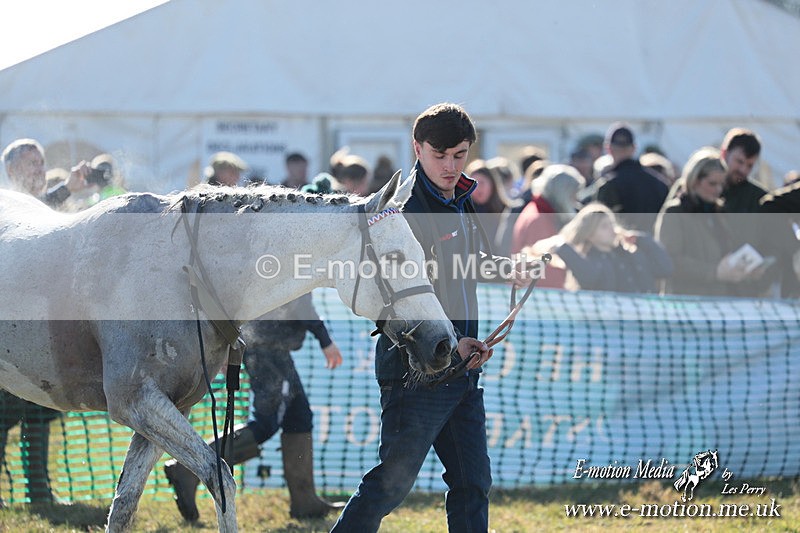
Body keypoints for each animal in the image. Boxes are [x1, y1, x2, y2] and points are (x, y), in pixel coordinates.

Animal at [0, 171, 456, 532]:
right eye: (394, 257)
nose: (443, 343)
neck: (182, 273)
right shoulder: (135, 400)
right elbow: (219, 475)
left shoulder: (168, 405)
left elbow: (124, 504)